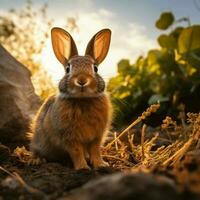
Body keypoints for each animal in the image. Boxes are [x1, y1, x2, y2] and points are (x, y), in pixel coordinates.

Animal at [28, 27, 111, 170]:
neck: (83, 100)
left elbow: (95, 150)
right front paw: (83, 168)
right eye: (68, 69)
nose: (82, 80)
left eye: (95, 68)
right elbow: (76, 151)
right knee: (36, 151)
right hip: (38, 139)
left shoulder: (97, 136)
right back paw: (36, 161)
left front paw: (101, 165)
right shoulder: (69, 137)